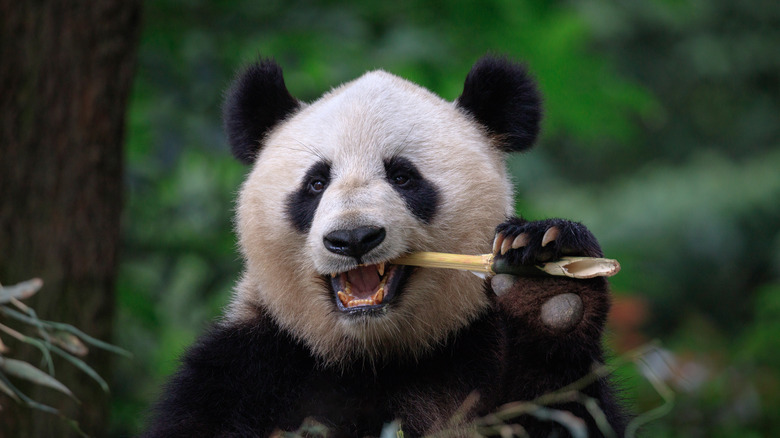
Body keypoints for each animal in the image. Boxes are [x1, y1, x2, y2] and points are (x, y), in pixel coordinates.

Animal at [140, 55, 628, 438]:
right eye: (316, 183)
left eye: (403, 176)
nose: (353, 238)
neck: (375, 357)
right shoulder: (245, 371)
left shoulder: (477, 357)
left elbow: (564, 412)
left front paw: (548, 287)